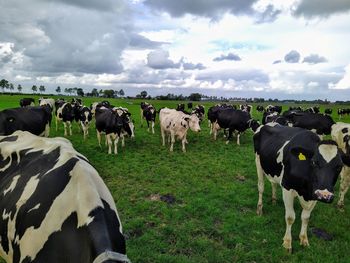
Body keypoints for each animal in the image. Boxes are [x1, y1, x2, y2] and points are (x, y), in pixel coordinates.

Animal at [253, 126, 344, 254]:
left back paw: (274, 200)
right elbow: (290, 217)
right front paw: (287, 243)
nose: (325, 195)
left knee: (273, 184)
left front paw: (304, 239)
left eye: (339, 166)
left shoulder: (314, 194)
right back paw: (259, 209)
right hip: (258, 163)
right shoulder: (287, 188)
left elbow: (305, 218)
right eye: (314, 162)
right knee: (261, 187)